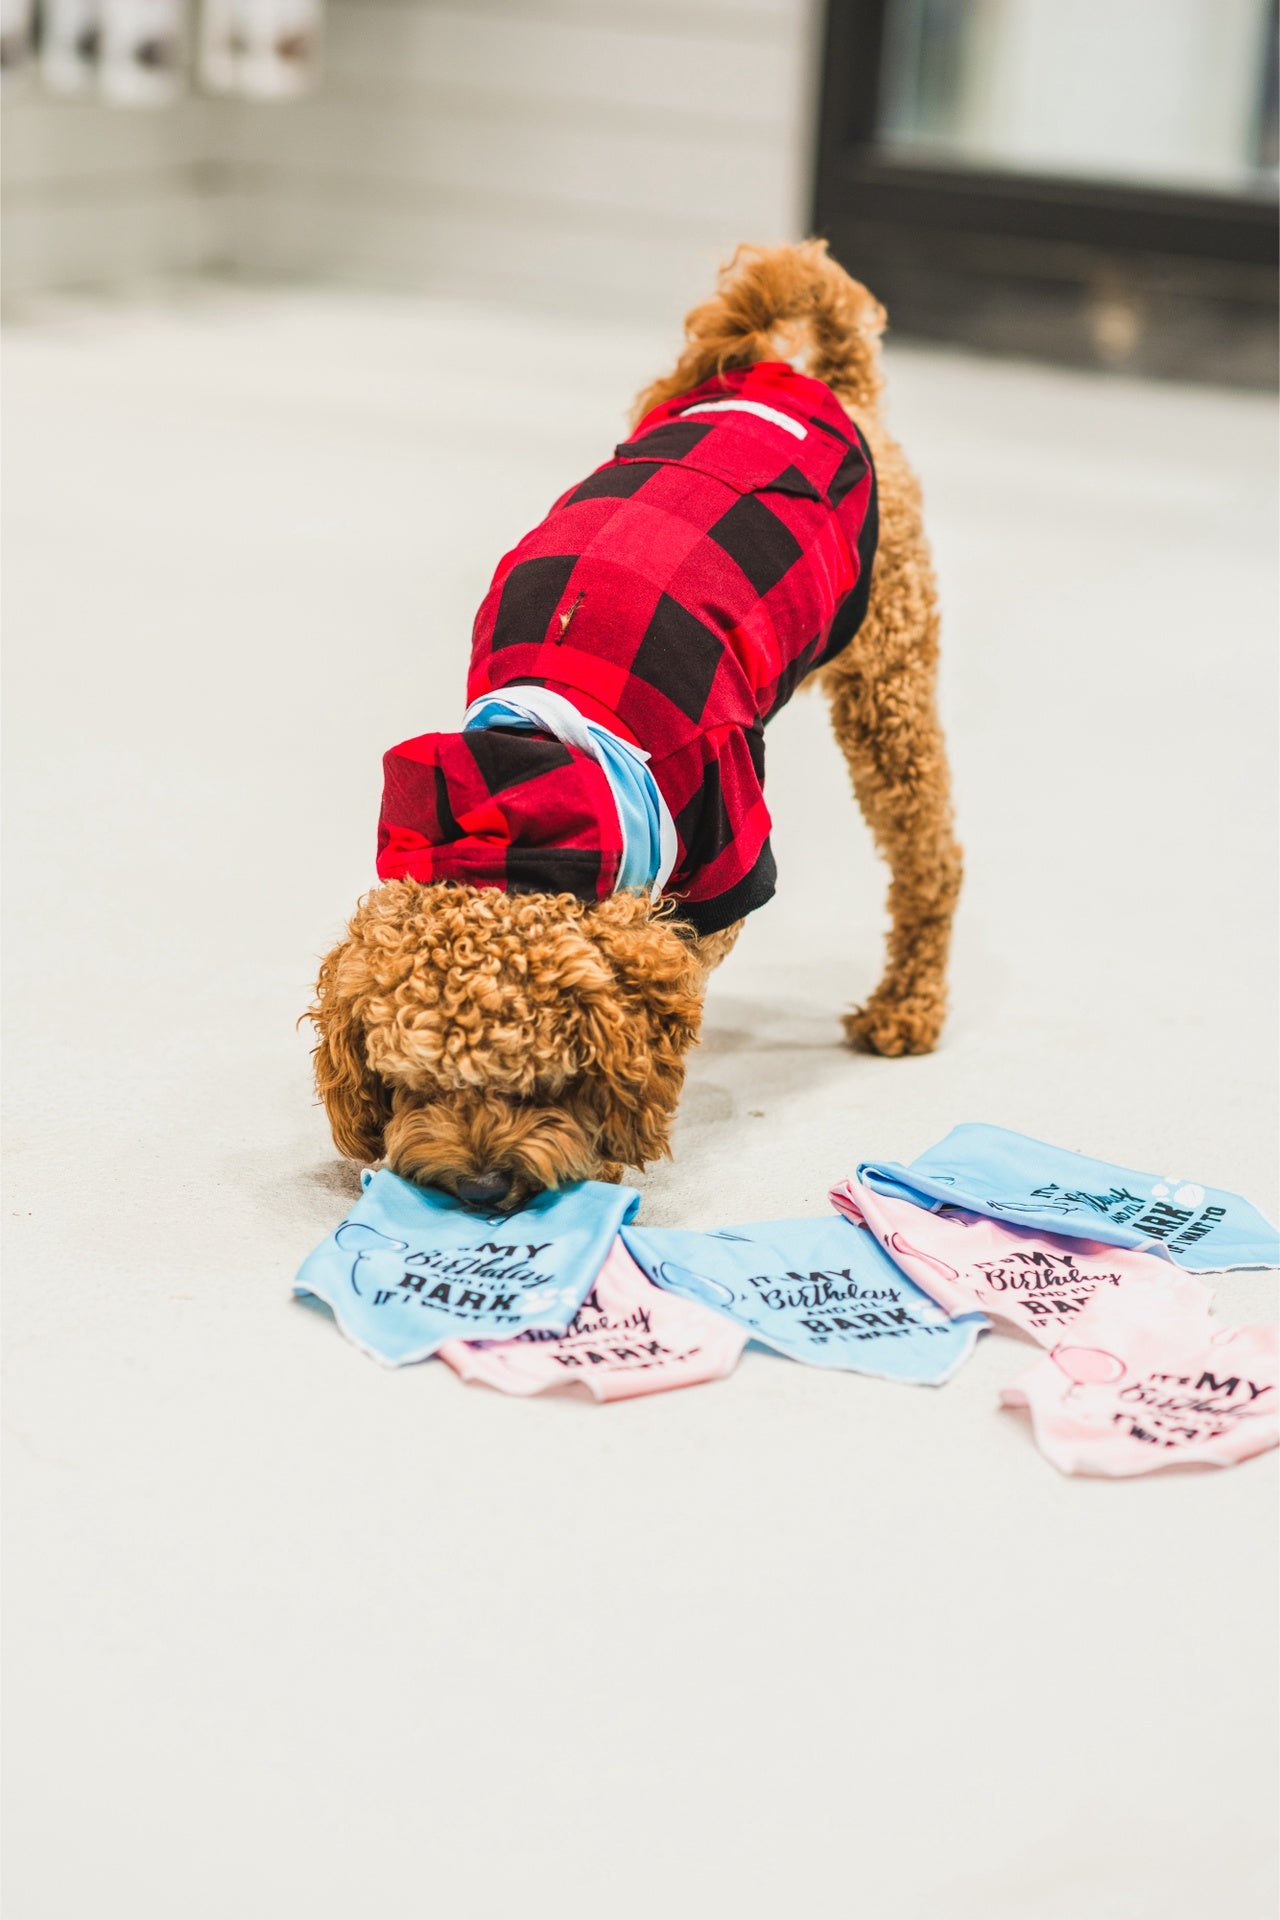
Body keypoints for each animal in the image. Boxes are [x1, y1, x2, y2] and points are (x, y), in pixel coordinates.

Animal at [310, 240, 959, 1205]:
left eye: (544, 1083)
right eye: (411, 1083)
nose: (479, 1188)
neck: (518, 795)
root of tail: (820, 382)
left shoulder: (725, 844)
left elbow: (676, 978)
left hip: (888, 674)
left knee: (932, 856)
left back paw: (906, 1007)